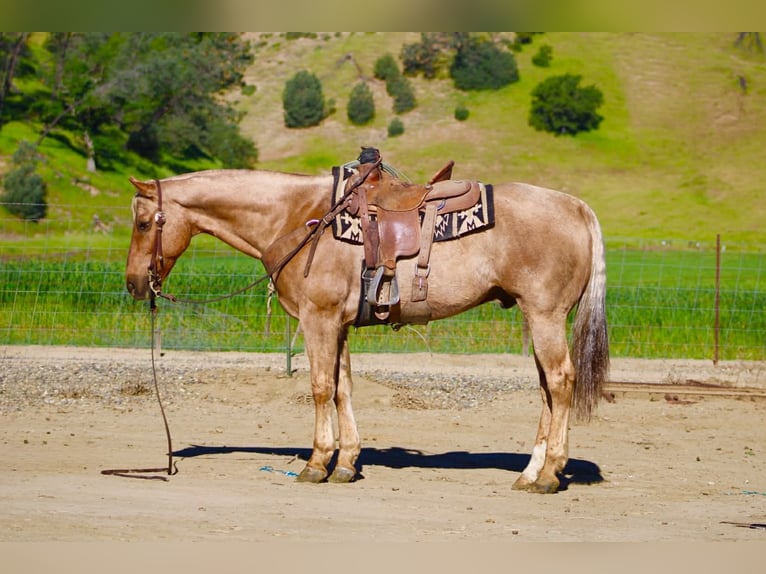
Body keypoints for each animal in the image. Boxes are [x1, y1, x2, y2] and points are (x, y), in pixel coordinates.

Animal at [126, 166, 609, 494]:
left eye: (144, 223)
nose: (133, 284)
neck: (298, 216)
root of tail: (577, 207)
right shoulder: (337, 324)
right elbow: (343, 388)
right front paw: (345, 464)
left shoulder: (317, 319)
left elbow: (321, 387)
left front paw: (316, 464)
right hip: (538, 317)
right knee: (547, 389)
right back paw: (530, 472)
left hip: (545, 316)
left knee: (561, 382)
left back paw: (549, 474)